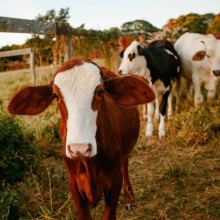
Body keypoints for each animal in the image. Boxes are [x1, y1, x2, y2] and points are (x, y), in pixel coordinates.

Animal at [7, 57, 155, 219]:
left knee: (125, 165)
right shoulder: (74, 183)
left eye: (100, 91)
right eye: (56, 95)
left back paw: (129, 198)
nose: (80, 148)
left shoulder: (115, 180)